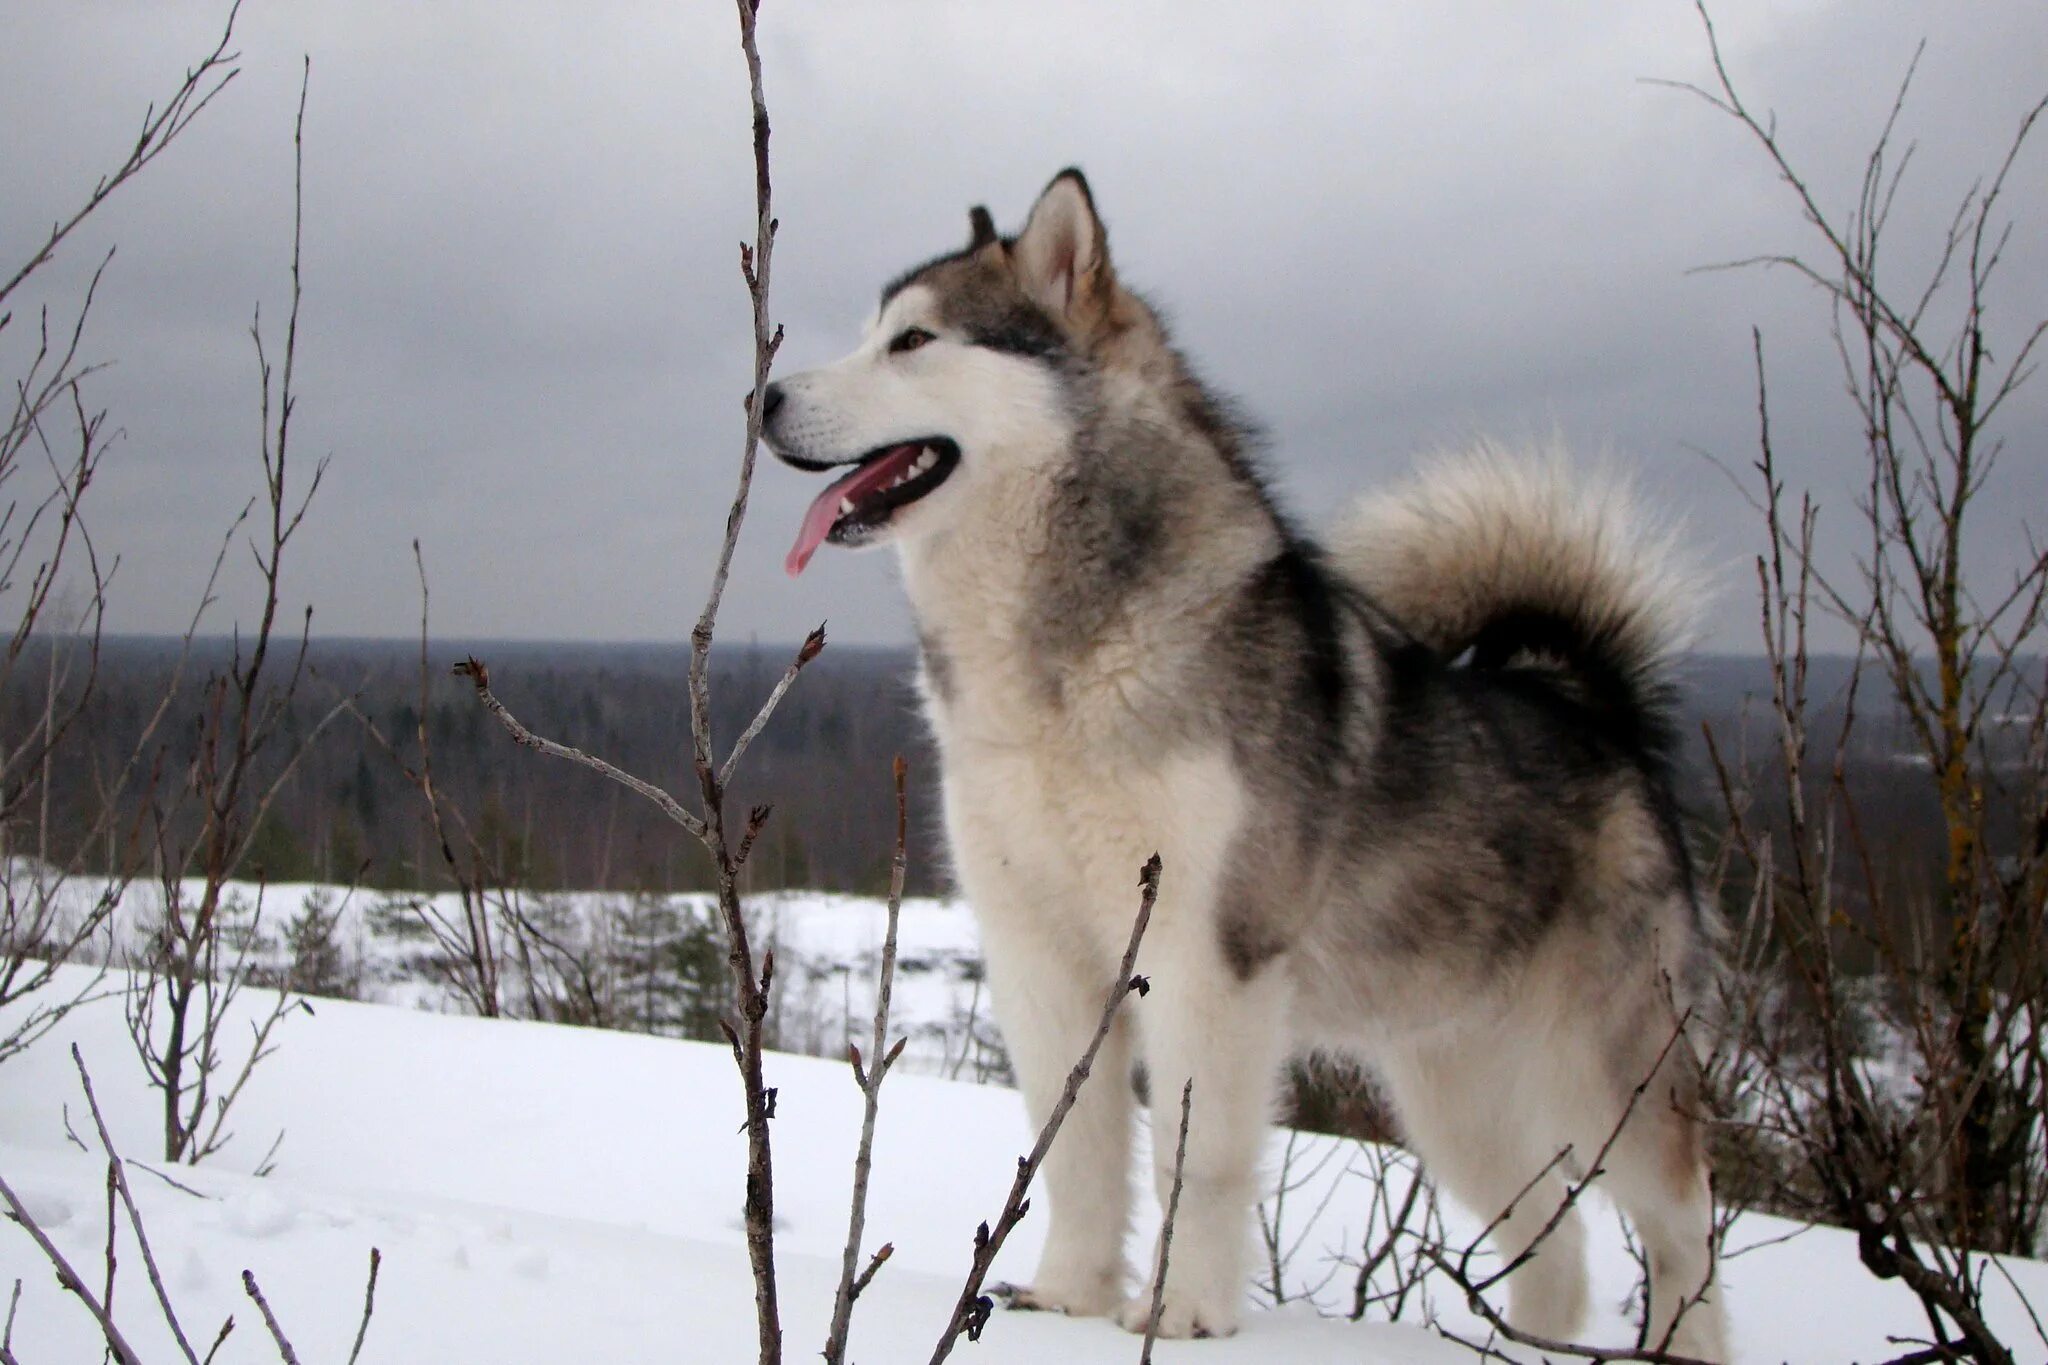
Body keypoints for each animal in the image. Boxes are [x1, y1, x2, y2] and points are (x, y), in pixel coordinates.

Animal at [761, 170, 1720, 1358]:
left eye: (914, 339)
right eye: (870, 333)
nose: (763, 398)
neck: (1061, 670)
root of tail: (1588, 703)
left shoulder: (1206, 955)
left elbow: (1200, 1154)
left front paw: (1181, 1312)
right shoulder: (1035, 954)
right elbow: (1074, 1148)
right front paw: (1068, 1296)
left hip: (1610, 1080)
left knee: (1684, 1237)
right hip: (1455, 1101)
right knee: (1556, 1234)